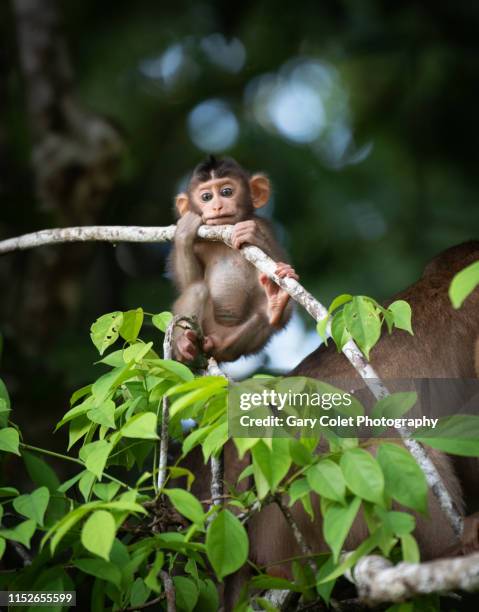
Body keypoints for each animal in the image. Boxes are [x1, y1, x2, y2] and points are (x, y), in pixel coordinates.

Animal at [171, 155, 298, 364]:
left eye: (227, 192)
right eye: (206, 197)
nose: (217, 206)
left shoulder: (264, 226)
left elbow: (272, 259)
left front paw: (251, 235)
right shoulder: (198, 242)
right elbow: (188, 282)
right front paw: (184, 232)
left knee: (268, 317)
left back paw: (275, 305)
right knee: (196, 289)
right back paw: (184, 347)